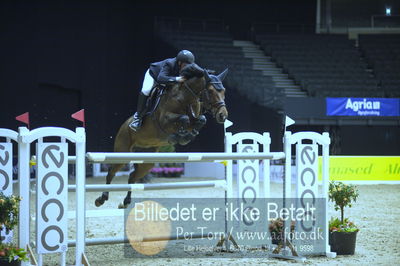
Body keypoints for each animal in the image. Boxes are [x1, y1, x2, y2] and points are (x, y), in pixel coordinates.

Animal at [94, 63, 230, 209]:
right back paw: (101, 198)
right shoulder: (164, 120)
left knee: (132, 177)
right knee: (111, 172)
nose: (223, 115)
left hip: (147, 161)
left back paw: (125, 202)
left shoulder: (194, 117)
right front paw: (179, 136)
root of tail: (124, 125)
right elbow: (183, 118)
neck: (186, 97)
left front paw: (187, 136)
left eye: (224, 91)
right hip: (123, 153)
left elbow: (201, 119)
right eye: (210, 91)